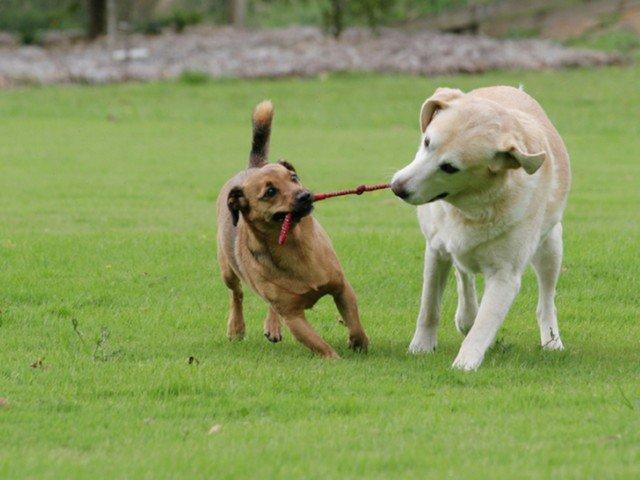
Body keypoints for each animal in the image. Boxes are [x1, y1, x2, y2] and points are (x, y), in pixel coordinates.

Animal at [215, 99, 368, 358]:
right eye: (270, 192)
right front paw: (336, 359)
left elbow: (354, 322)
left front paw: (359, 343)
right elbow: (319, 345)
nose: (305, 195)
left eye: (294, 177)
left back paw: (271, 326)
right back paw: (236, 327)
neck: (294, 245)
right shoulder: (293, 316)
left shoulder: (342, 288)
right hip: (227, 268)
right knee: (237, 294)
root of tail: (253, 167)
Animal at [390, 86, 568, 372]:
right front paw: (421, 347)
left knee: (546, 300)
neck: (471, 208)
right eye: (427, 142)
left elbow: (484, 326)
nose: (398, 188)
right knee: (464, 274)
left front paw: (465, 363)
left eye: (450, 167)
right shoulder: (436, 250)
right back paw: (466, 315)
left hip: (551, 247)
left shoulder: (505, 276)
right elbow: (429, 307)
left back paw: (551, 340)